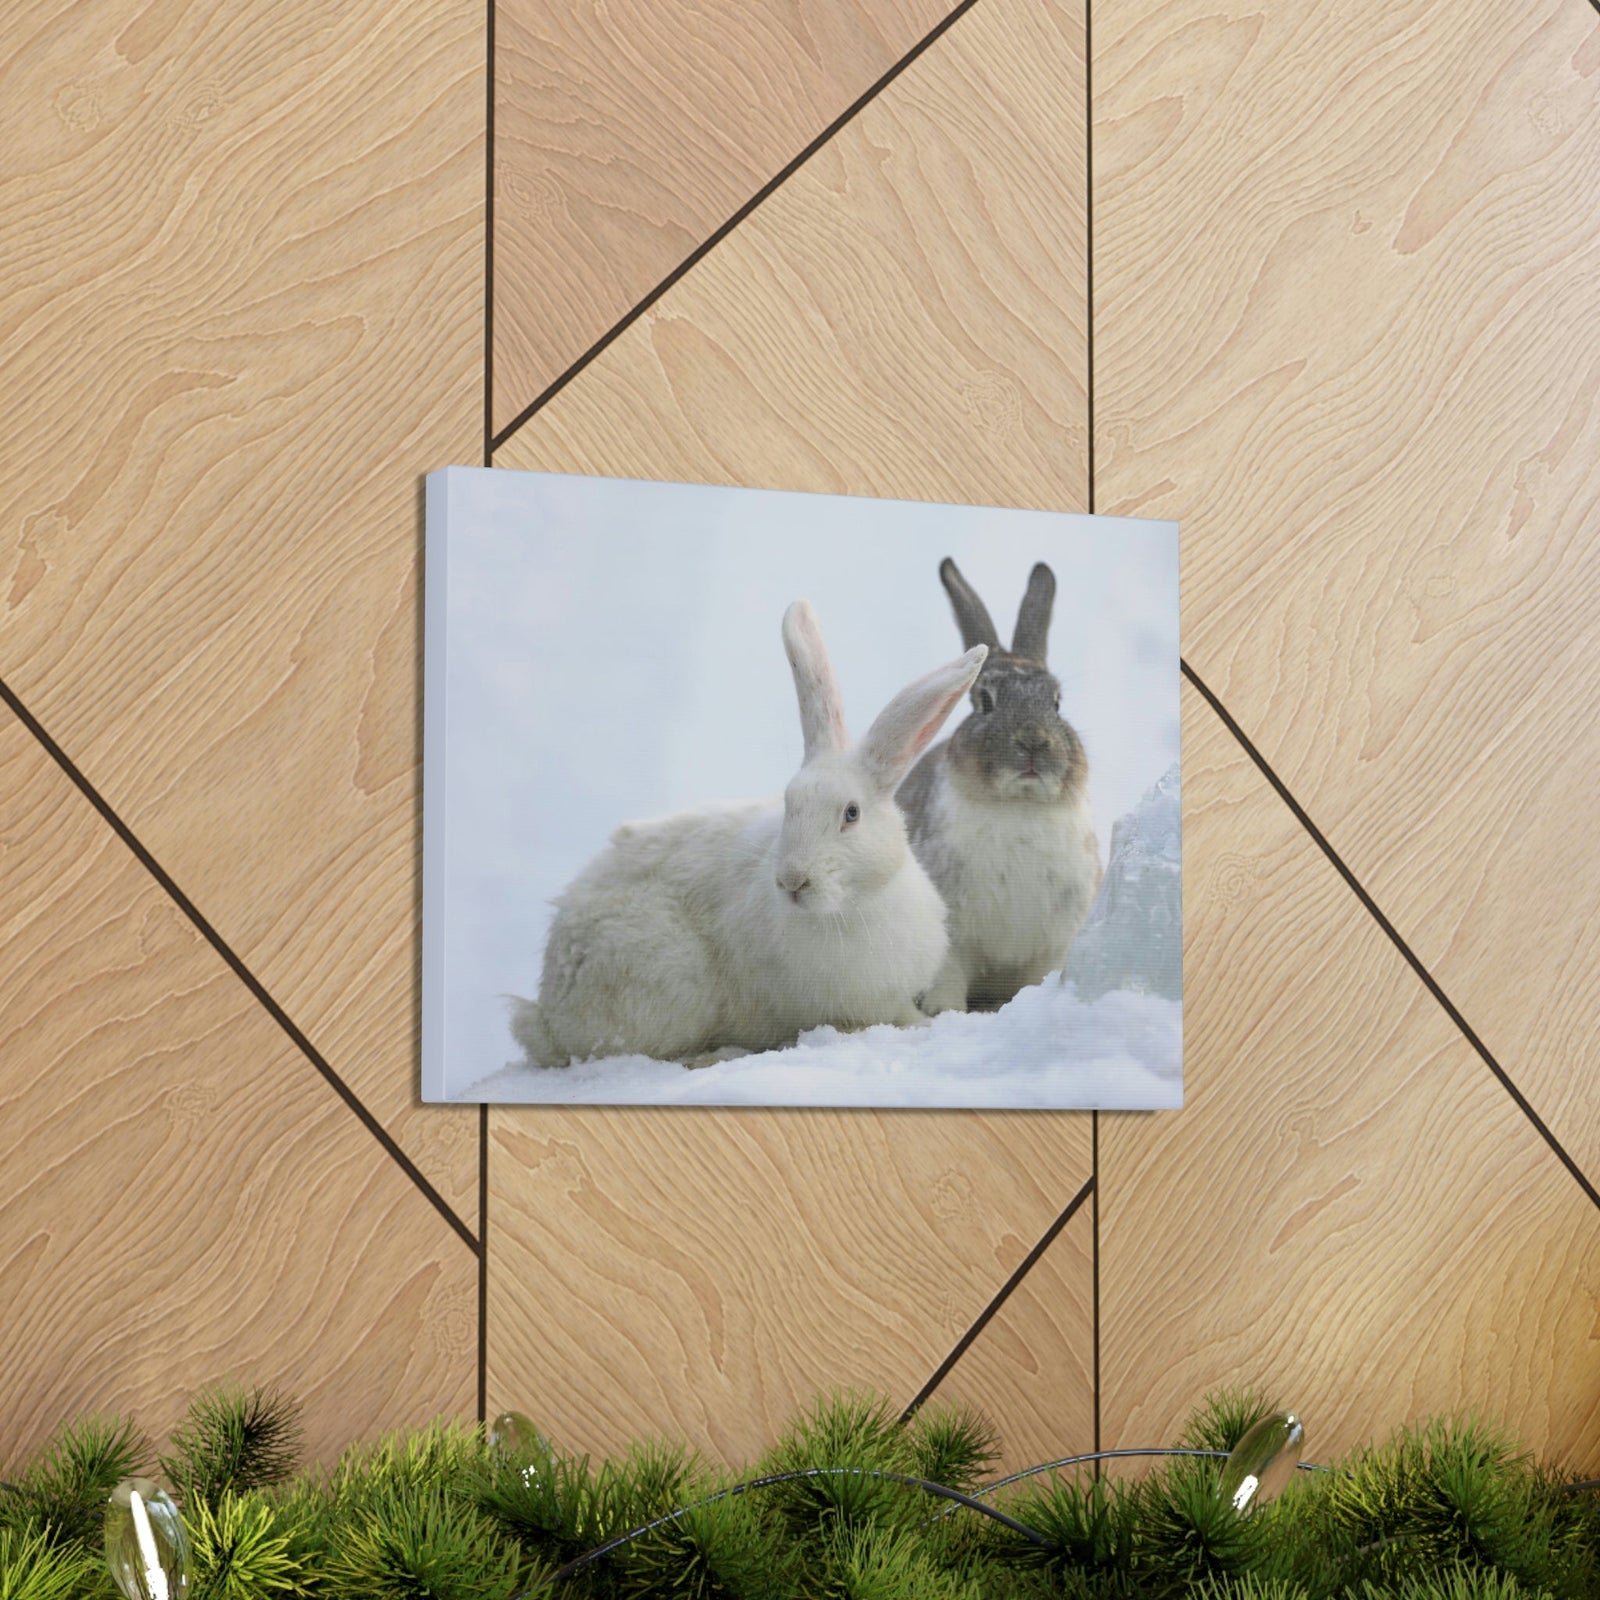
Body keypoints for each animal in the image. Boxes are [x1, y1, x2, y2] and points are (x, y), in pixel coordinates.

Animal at [511, 599, 987, 1068]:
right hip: (667, 982)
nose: (792, 881)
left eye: (851, 814)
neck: (852, 907)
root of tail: (549, 1013)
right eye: (789, 805)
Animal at [896, 558, 1102, 1012]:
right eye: (985, 701)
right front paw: (943, 1013)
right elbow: (948, 980)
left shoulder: (1054, 944)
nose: (1034, 741)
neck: (1018, 805)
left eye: (1056, 702)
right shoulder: (953, 940)